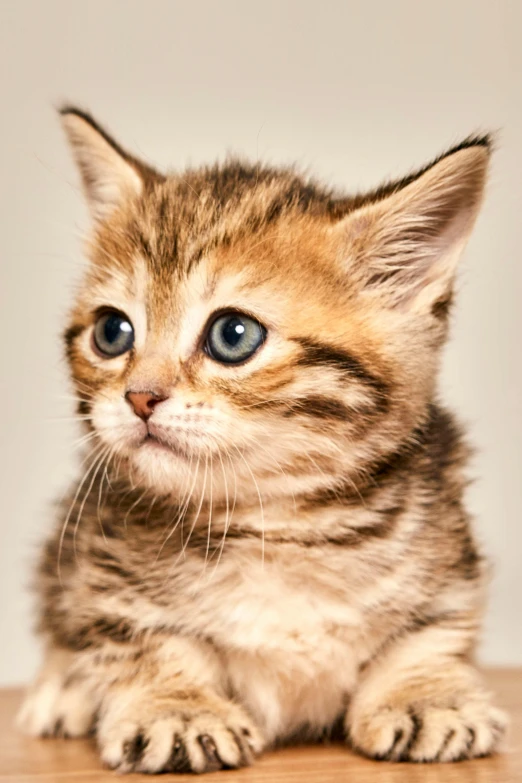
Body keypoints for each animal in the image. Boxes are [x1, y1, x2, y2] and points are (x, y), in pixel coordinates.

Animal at [18, 107, 506, 776]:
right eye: (112, 332)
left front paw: (426, 695)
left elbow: (431, 632)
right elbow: (139, 638)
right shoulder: (97, 558)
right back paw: (62, 690)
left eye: (233, 335)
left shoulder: (449, 554)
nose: (139, 397)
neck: (275, 522)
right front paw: (176, 707)